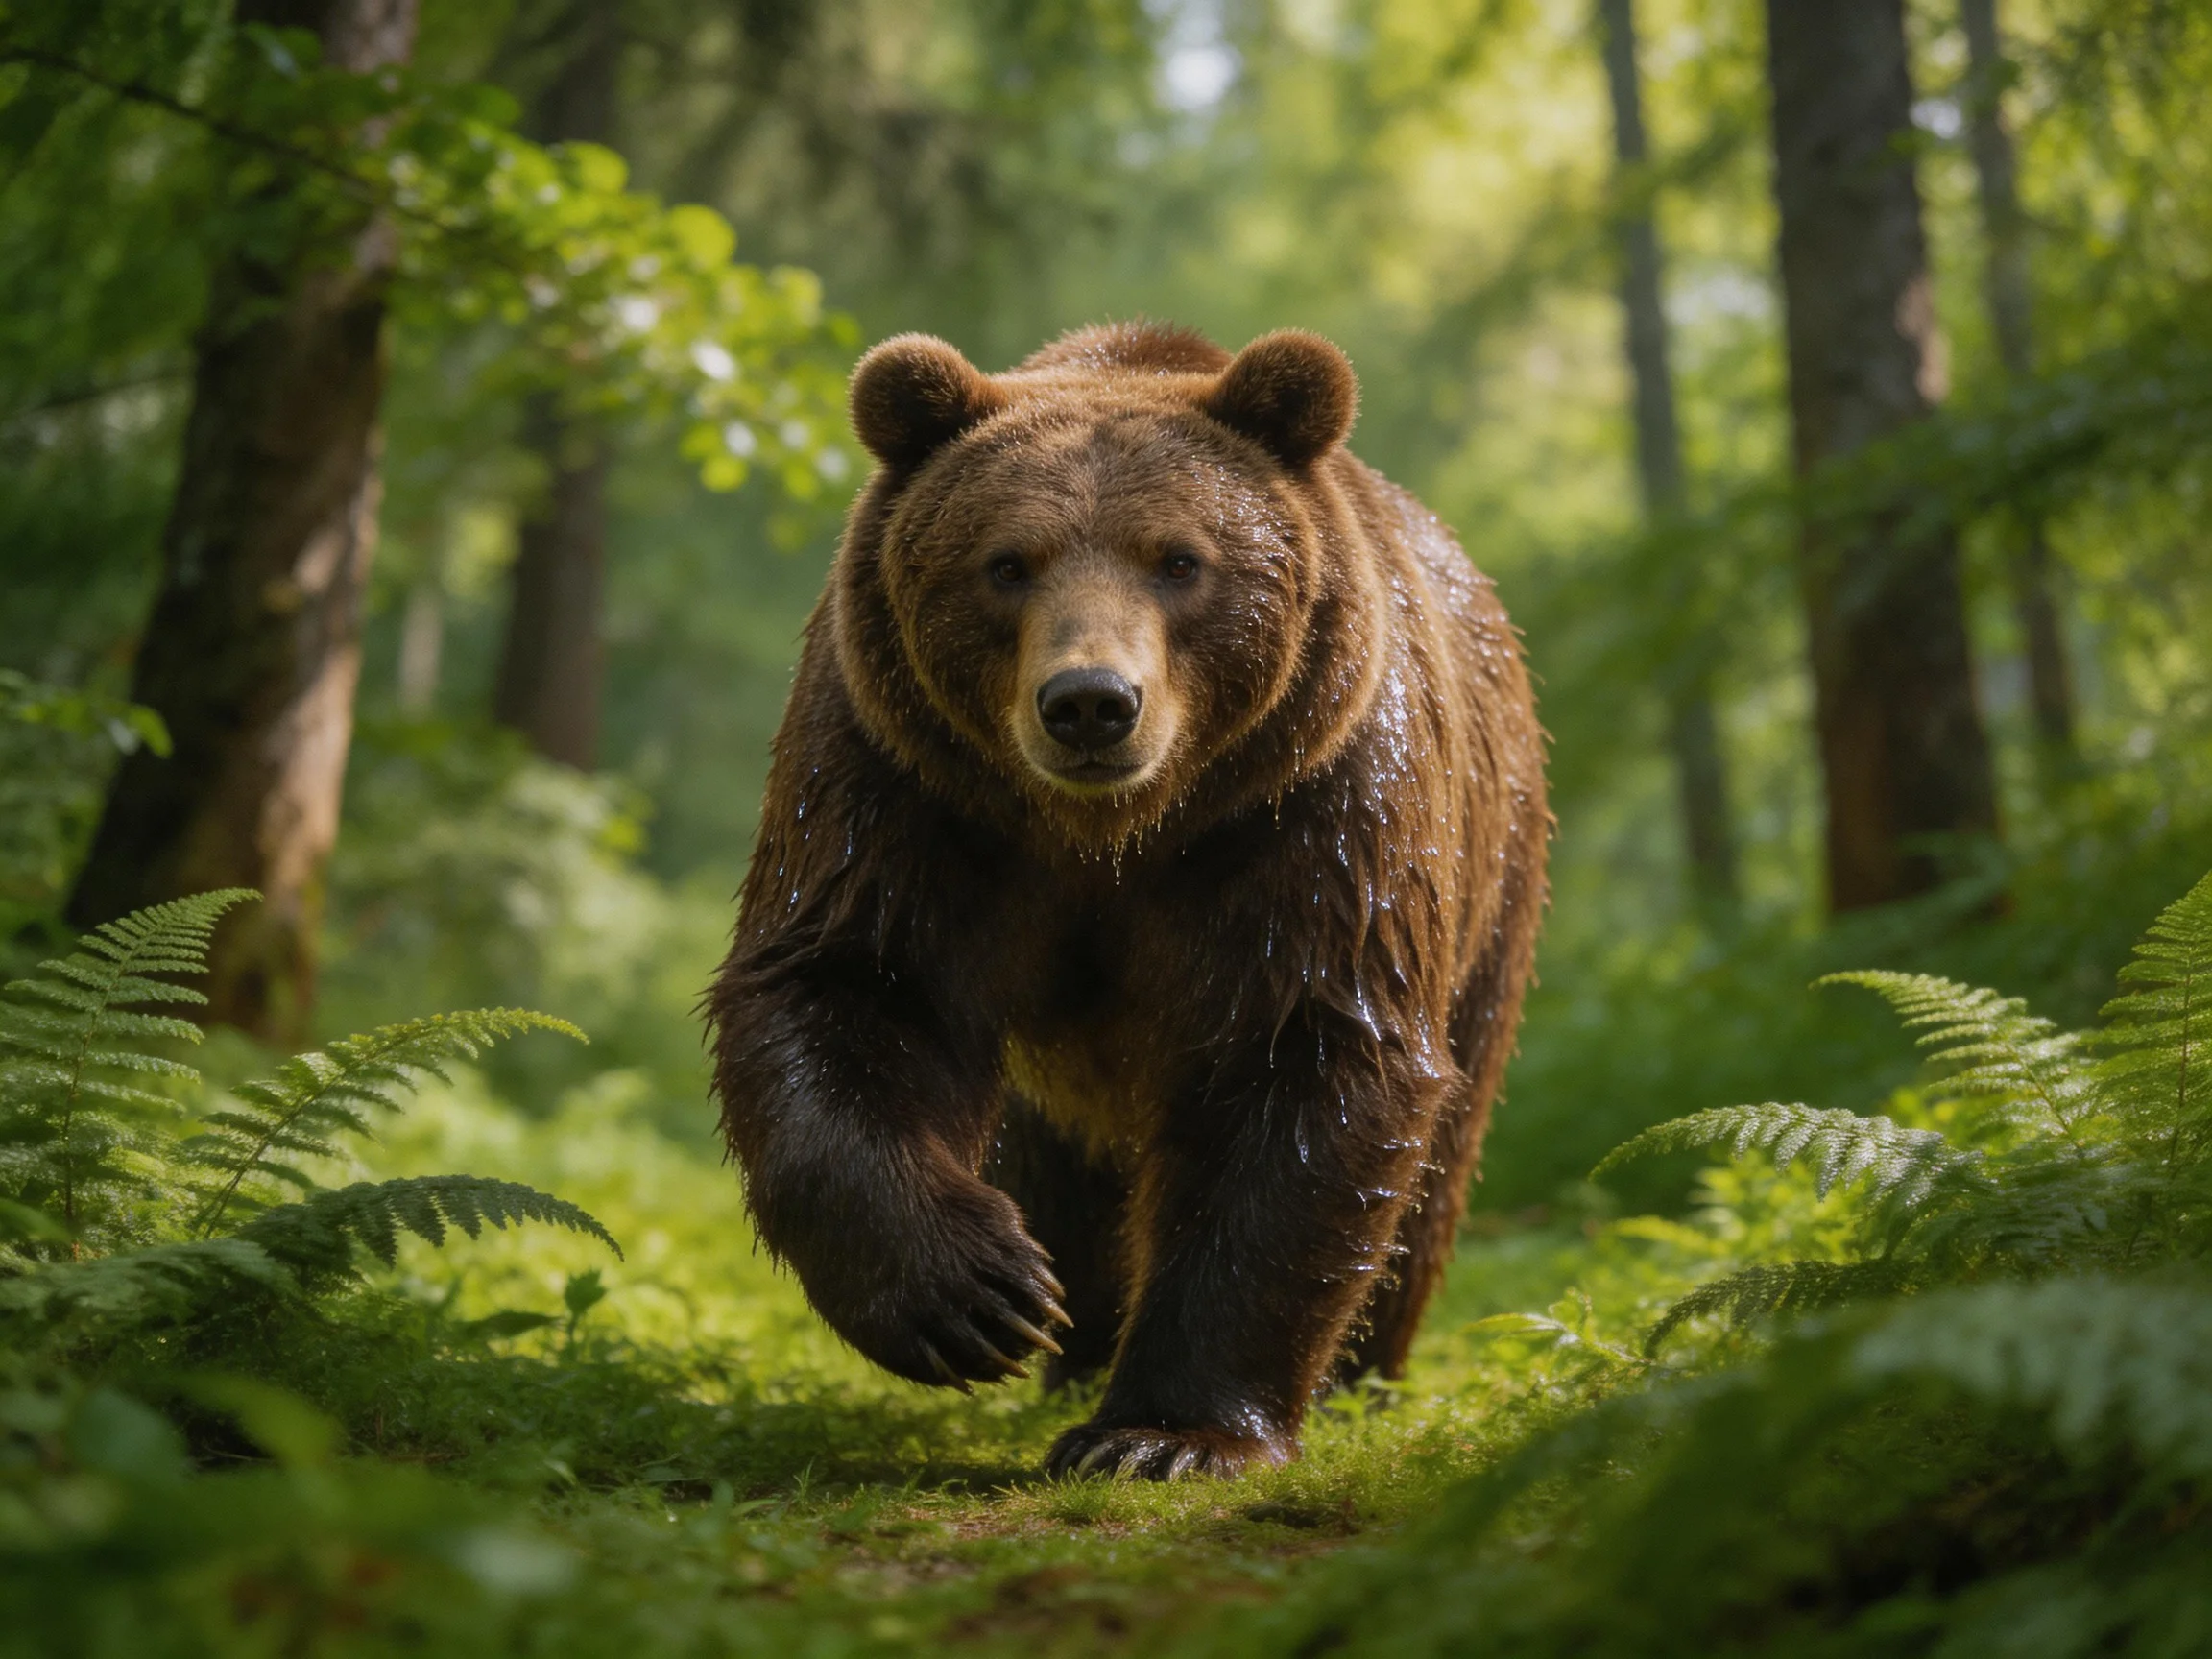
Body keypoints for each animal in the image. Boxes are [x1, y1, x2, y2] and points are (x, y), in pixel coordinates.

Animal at [707, 321, 1547, 1480]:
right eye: (1006, 564)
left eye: (1180, 559)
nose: (1091, 704)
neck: (1106, 836)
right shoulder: (902, 785)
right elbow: (849, 987)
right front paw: (974, 1295)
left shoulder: (1310, 812)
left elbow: (1301, 1059)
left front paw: (1164, 1435)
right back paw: (1076, 1334)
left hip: (1490, 874)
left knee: (1436, 1157)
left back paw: (1359, 1369)